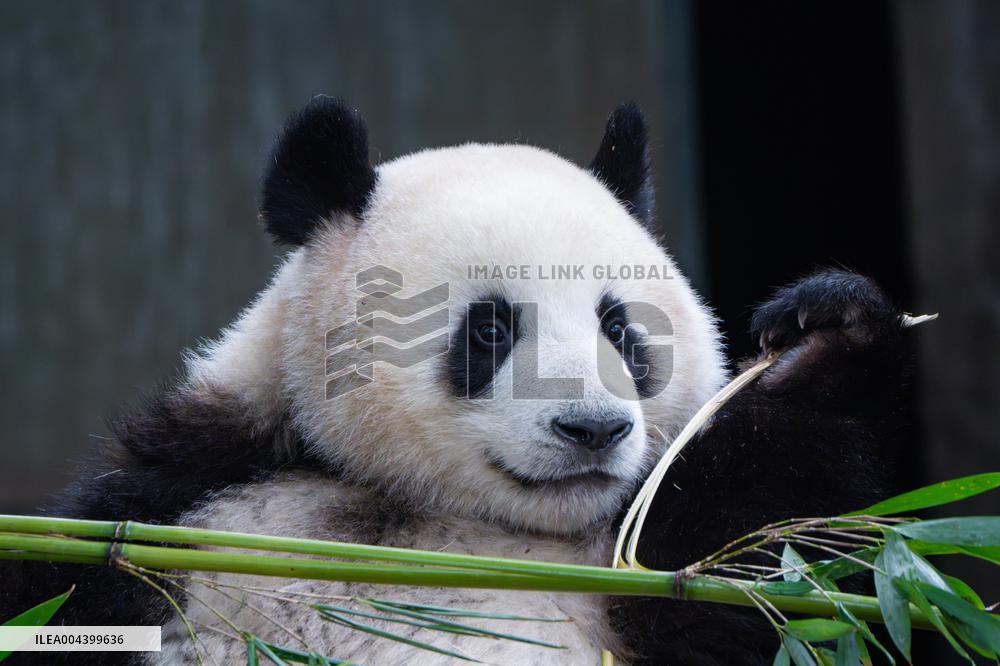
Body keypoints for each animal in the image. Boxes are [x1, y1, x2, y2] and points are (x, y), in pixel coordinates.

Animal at [0, 97, 911, 665]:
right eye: (491, 329)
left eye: (620, 329)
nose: (592, 430)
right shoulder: (173, 500)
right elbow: (55, 587)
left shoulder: (639, 569)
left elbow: (759, 581)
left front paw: (813, 346)